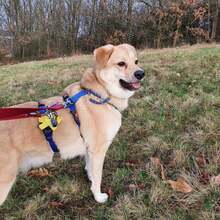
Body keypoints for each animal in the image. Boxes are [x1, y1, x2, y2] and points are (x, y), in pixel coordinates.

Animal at [0, 43, 144, 205]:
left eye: (136, 62)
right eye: (121, 63)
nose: (141, 73)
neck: (99, 94)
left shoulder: (89, 149)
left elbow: (90, 169)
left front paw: (90, 178)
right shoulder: (98, 150)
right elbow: (98, 177)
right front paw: (98, 196)